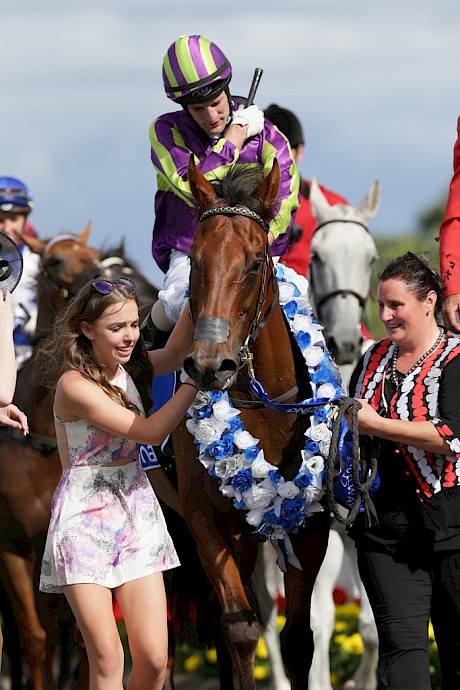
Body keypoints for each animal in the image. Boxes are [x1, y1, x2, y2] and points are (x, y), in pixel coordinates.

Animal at [170, 156, 342, 688]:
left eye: (253, 263)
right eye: (195, 262)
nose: (209, 365)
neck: (262, 410)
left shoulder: (311, 524)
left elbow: (299, 638)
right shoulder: (203, 521)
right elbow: (242, 629)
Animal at [252, 179, 380, 688]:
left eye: (370, 257)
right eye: (319, 256)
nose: (345, 340)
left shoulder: (357, 526)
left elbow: (369, 627)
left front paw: (361, 680)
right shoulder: (320, 528)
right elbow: (320, 619)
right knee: (267, 616)